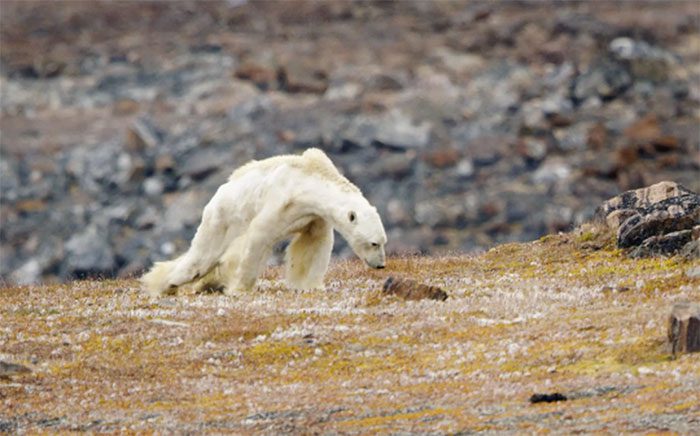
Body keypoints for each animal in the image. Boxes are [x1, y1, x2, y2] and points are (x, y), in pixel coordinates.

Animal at [139, 147, 386, 296]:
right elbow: (259, 236)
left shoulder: (313, 215)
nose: (381, 265)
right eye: (374, 243)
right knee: (200, 259)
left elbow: (313, 245)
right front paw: (240, 288)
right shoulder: (281, 200)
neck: (309, 180)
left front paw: (311, 285)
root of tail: (218, 193)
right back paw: (166, 284)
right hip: (222, 219)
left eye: (383, 242)